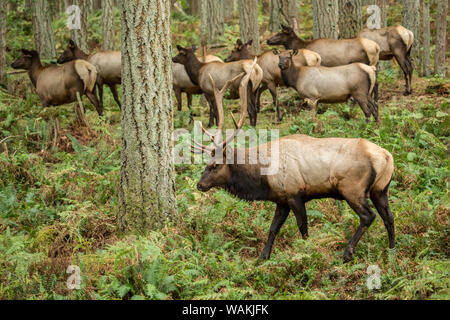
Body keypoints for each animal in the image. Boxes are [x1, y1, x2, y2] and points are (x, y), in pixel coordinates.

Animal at [193, 60, 394, 262]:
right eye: (206, 164)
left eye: (215, 165)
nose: (200, 185)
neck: (263, 176)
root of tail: (386, 157)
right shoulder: (281, 199)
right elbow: (273, 228)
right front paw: (263, 256)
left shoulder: (295, 193)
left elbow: (303, 228)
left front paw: (306, 253)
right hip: (380, 189)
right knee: (389, 217)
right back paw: (392, 249)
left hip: (353, 188)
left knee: (368, 216)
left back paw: (347, 252)